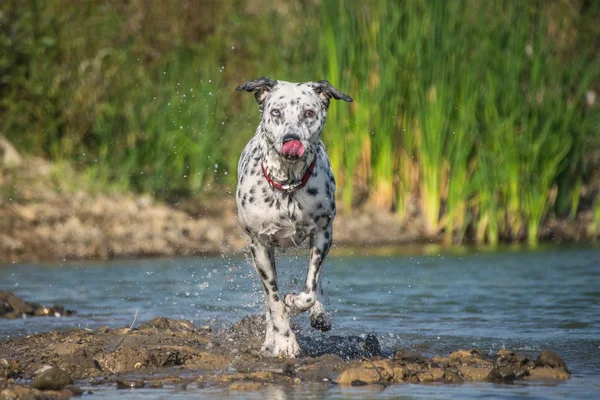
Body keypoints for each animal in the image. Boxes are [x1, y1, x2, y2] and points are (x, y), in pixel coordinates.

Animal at [237, 77, 354, 356]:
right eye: (276, 112)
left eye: (309, 113)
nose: (292, 139)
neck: (288, 186)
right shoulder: (260, 244)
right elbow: (273, 300)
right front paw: (284, 340)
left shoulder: (323, 233)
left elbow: (309, 290)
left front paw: (296, 303)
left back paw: (319, 313)